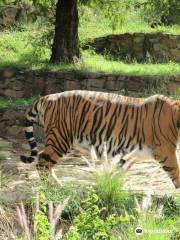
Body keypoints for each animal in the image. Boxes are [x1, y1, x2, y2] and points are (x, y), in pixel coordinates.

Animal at [20, 89, 180, 188]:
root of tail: (47, 97)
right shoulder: (166, 152)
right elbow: (177, 174)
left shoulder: (129, 156)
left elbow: (117, 173)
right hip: (60, 138)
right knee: (42, 160)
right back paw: (52, 187)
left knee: (46, 161)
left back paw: (57, 184)